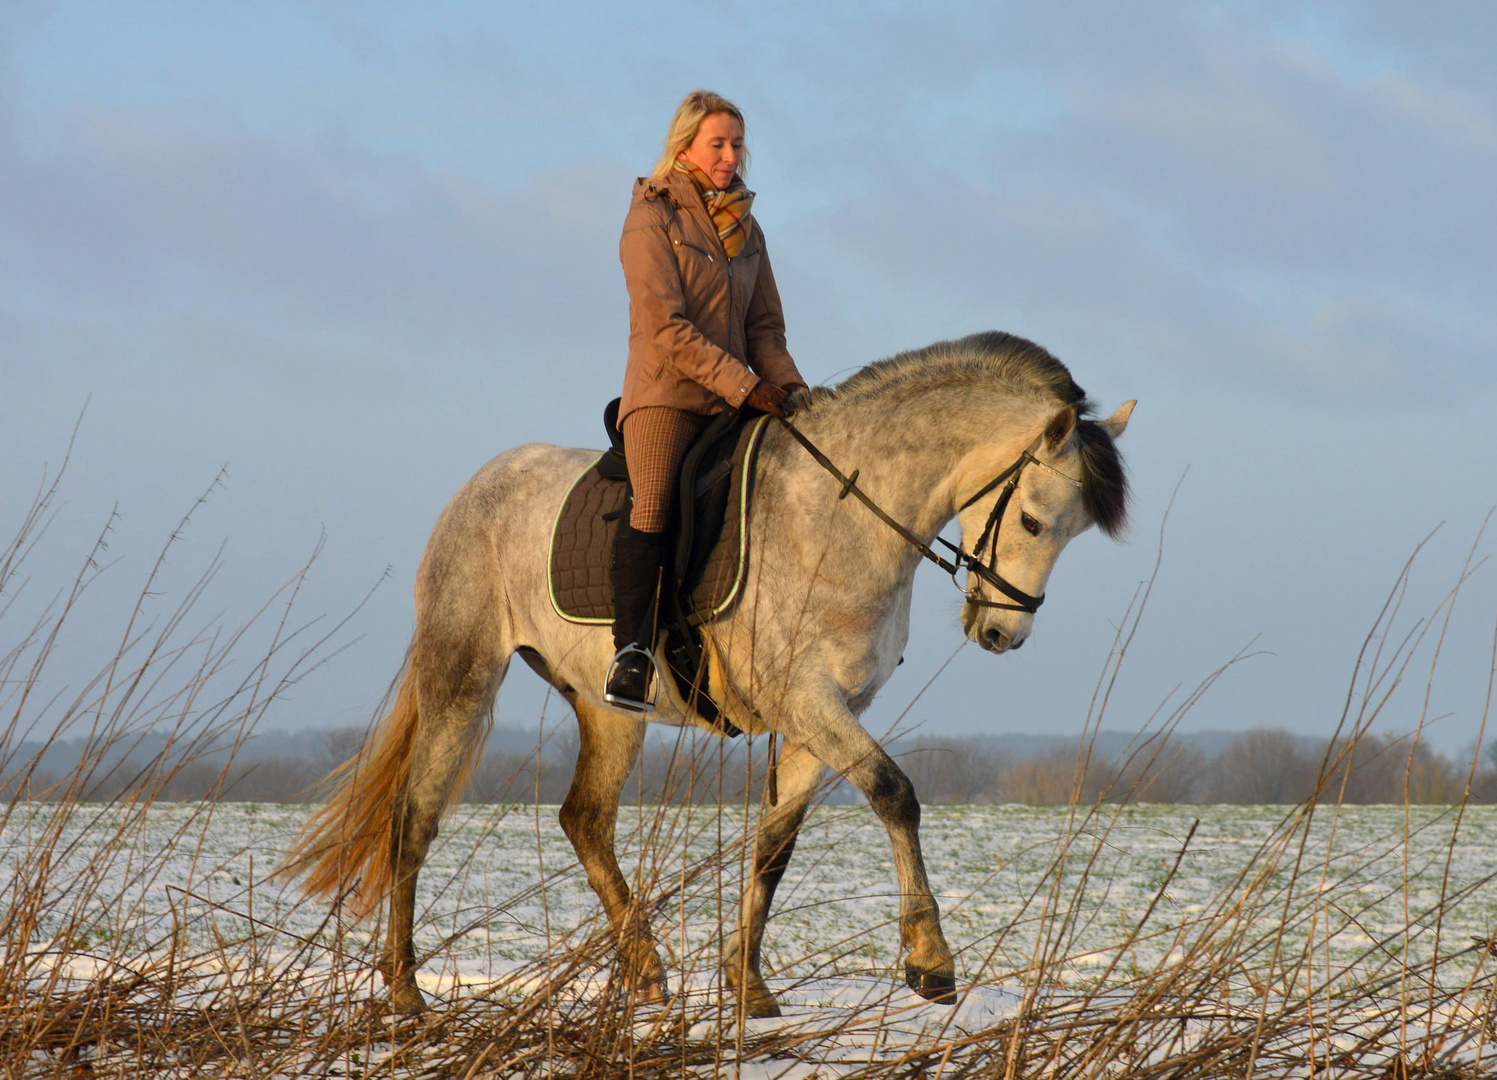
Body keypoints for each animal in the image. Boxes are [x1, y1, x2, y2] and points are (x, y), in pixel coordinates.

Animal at [278, 332, 1131, 1012]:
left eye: (1071, 533)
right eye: (1031, 521)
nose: (1001, 633)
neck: (841, 515)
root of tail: (479, 484)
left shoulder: (824, 715)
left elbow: (775, 844)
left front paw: (747, 986)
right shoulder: (808, 701)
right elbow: (895, 794)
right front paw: (929, 962)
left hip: (608, 707)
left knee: (584, 821)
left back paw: (647, 973)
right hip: (461, 679)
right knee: (415, 816)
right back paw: (405, 990)